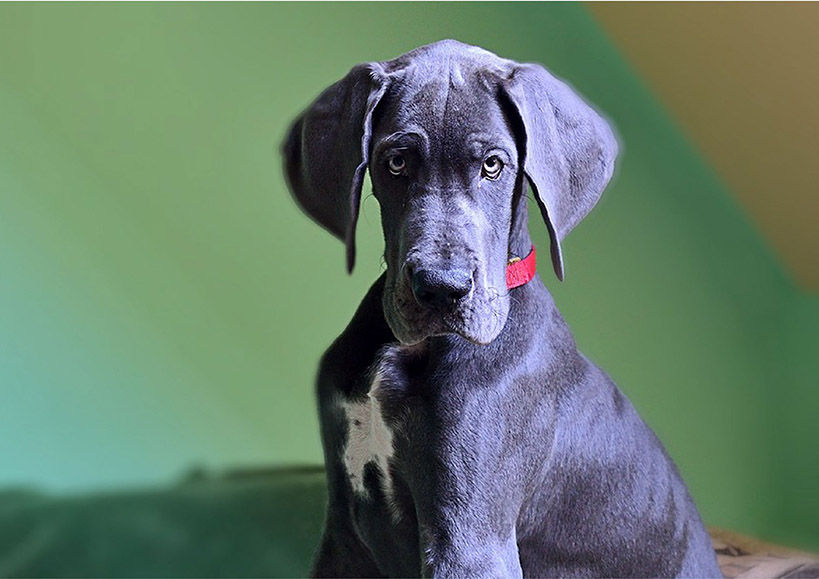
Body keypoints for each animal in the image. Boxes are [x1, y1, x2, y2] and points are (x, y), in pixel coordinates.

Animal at [286, 40, 720, 579]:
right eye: (396, 162)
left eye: (493, 165)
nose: (441, 289)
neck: (405, 352)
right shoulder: (345, 536)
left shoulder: (471, 541)